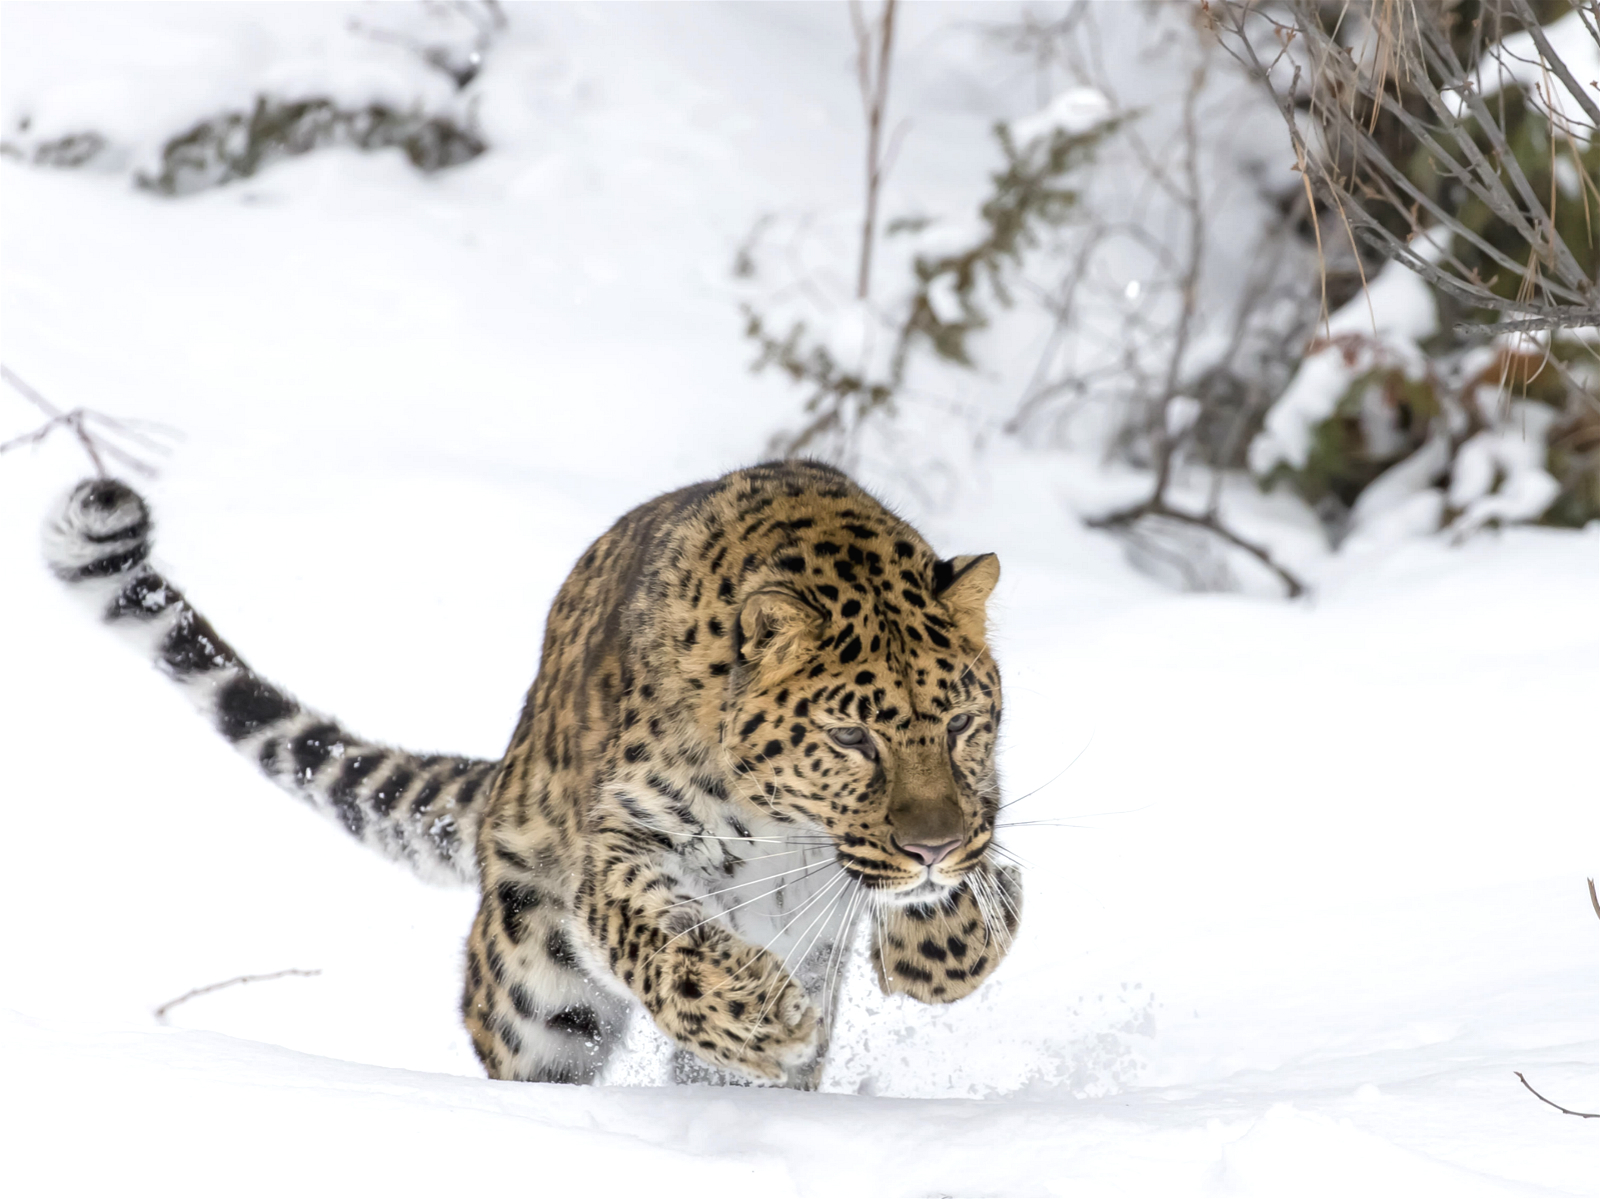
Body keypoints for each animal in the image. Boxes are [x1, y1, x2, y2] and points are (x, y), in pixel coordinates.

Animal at [53, 457, 1024, 1082]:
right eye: (852, 738)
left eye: (962, 722)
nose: (931, 848)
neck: (787, 829)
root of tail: (504, 783)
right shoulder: (623, 841)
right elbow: (659, 932)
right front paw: (752, 1005)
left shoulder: (972, 812)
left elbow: (988, 885)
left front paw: (940, 945)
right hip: (532, 987)